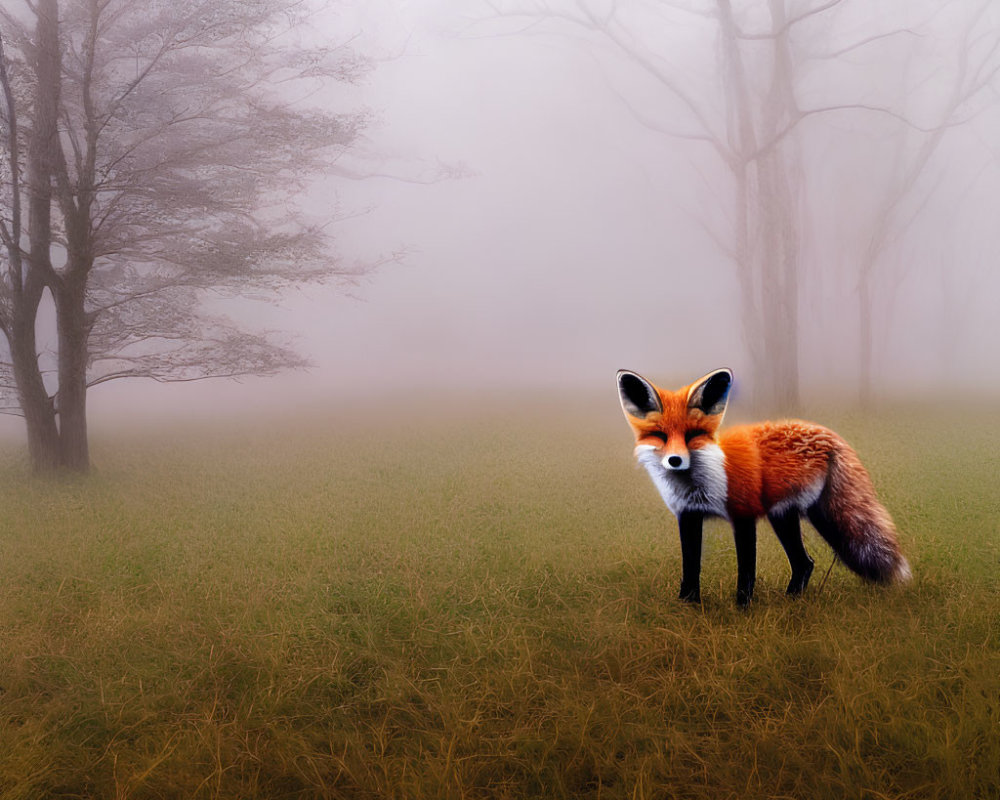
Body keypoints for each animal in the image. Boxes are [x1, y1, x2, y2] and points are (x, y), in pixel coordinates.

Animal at [612, 368, 912, 608]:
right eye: (660, 436)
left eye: (692, 435)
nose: (675, 461)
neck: (700, 483)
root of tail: (828, 433)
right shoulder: (688, 515)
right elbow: (691, 567)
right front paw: (688, 607)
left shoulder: (743, 515)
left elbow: (746, 572)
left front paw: (742, 610)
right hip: (789, 515)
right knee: (804, 563)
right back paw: (791, 601)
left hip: (797, 515)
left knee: (805, 562)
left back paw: (790, 603)